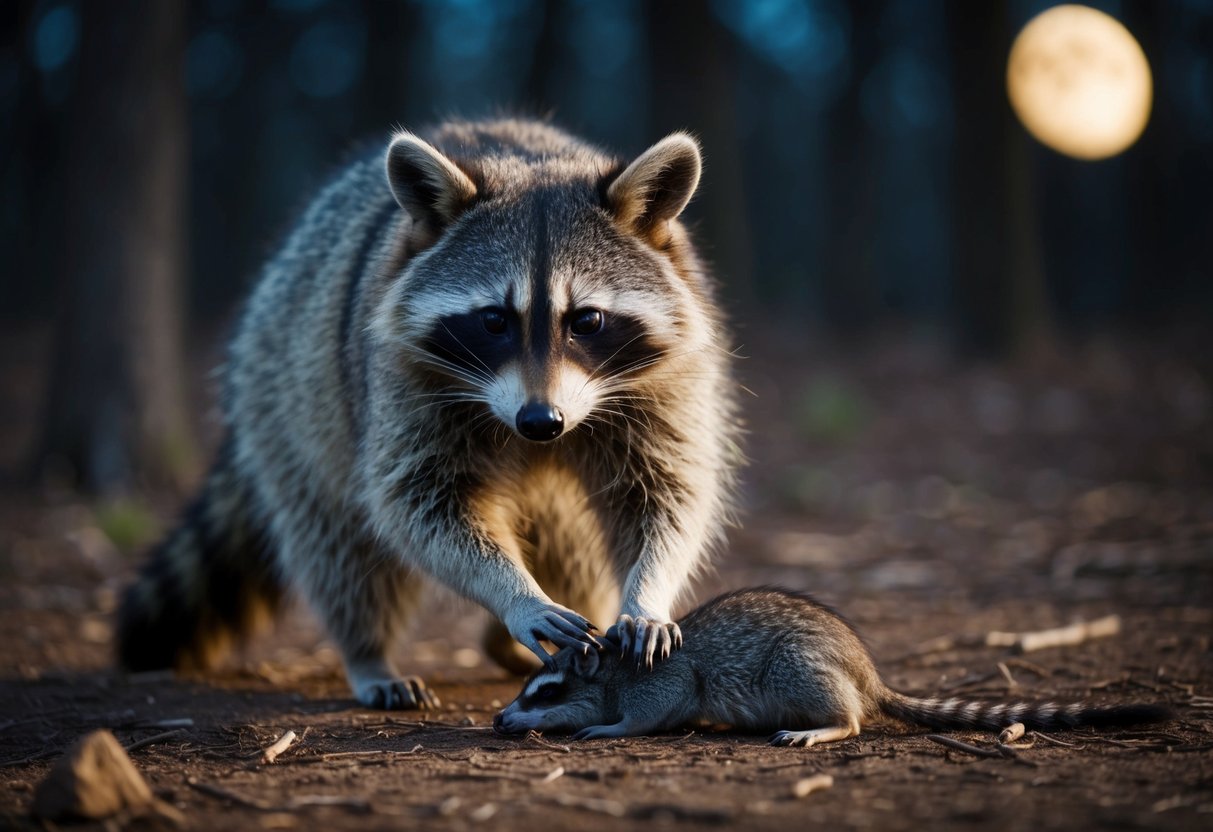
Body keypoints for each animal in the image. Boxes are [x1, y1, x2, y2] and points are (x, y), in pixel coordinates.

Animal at [117, 119, 742, 709]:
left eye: (586, 320)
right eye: (494, 320)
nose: (541, 422)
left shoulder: (668, 378)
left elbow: (667, 494)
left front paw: (647, 592)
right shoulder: (402, 377)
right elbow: (420, 504)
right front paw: (515, 594)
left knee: (575, 548)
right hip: (289, 392)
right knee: (341, 545)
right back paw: (368, 653)